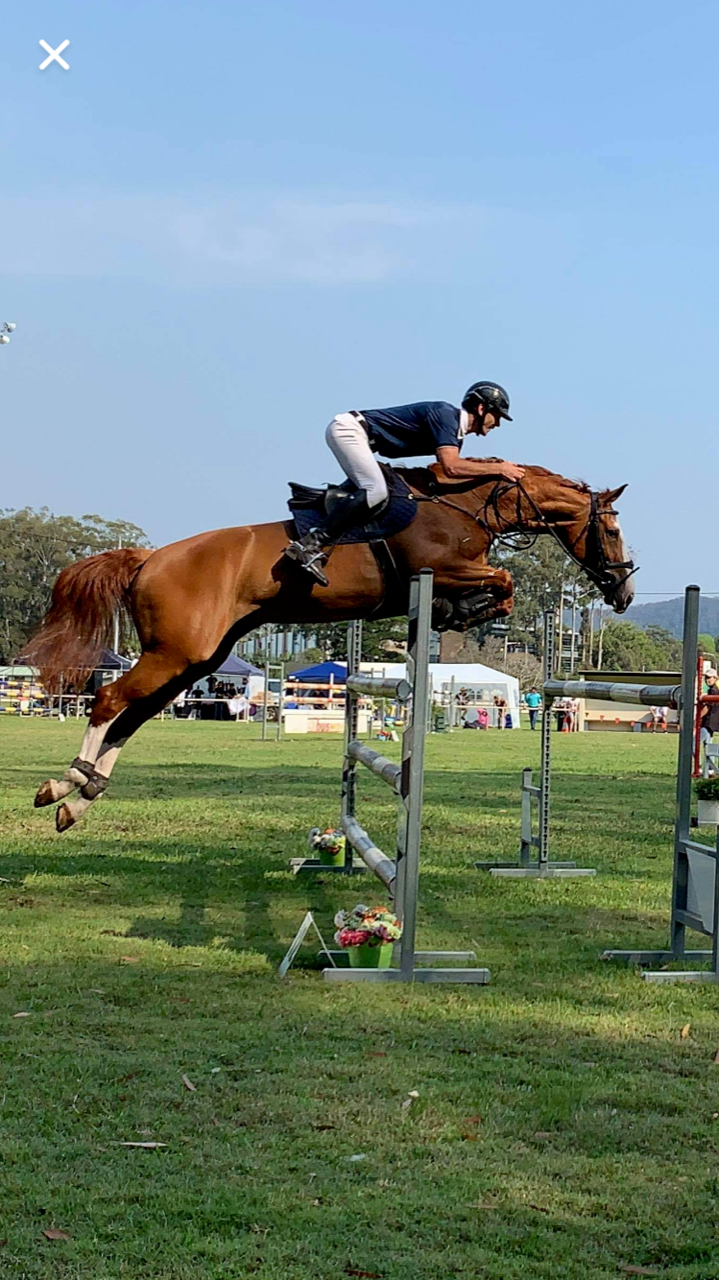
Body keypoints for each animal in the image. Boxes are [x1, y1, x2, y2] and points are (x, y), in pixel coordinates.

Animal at [25, 464, 634, 832]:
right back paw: (65, 783)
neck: (468, 505)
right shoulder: (444, 567)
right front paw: (459, 610)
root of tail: (148, 557)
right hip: (174, 654)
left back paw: (78, 796)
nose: (625, 589)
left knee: (132, 716)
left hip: (195, 659)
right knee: (109, 702)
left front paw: (456, 613)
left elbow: (499, 591)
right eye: (611, 529)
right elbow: (504, 582)